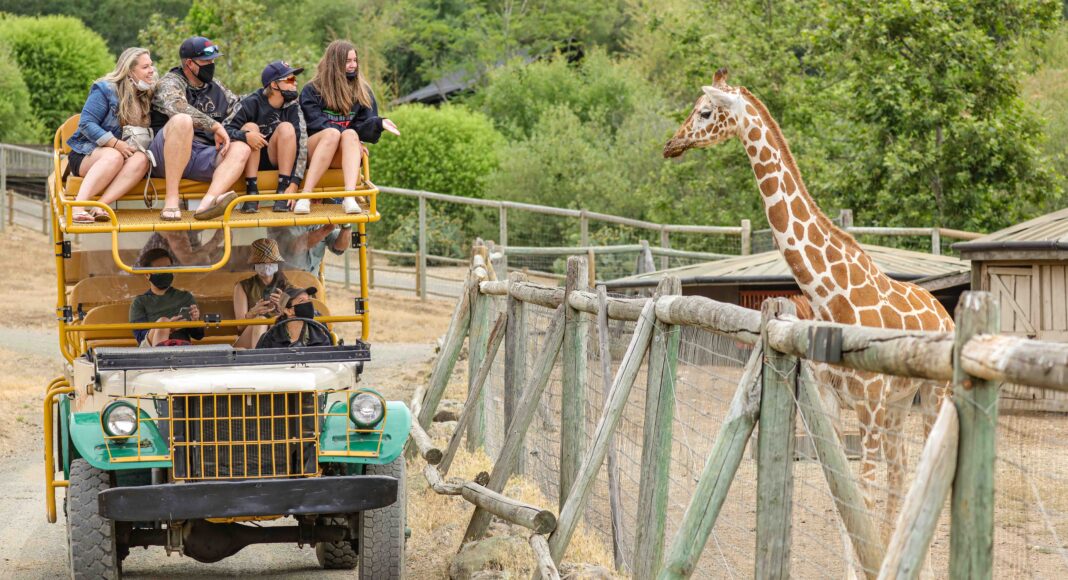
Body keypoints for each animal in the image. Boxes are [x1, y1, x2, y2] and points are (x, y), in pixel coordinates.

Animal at [662, 70, 956, 542]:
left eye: (705, 111)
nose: (671, 144)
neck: (830, 297)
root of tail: (945, 313)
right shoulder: (834, 404)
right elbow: (845, 511)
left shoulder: (869, 406)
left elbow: (863, 503)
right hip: (898, 405)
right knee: (900, 475)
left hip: (931, 396)